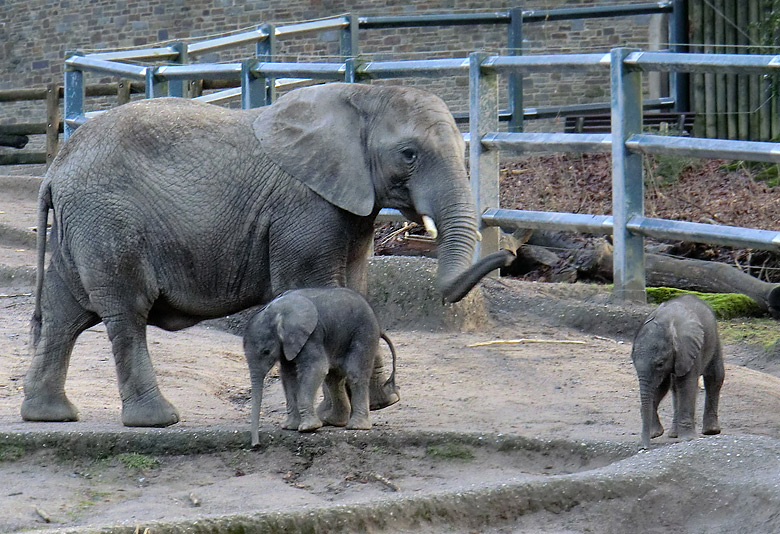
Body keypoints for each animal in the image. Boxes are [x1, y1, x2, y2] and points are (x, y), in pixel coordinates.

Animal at [21, 84, 516, 430]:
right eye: (408, 154)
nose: (511, 255)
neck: (363, 94)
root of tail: (54, 169)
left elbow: (357, 291)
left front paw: (379, 405)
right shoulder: (303, 209)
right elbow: (316, 285)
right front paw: (338, 415)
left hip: (80, 228)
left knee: (65, 313)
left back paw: (49, 415)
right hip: (108, 223)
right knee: (125, 313)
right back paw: (157, 420)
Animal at [244, 286, 400, 446]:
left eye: (266, 351)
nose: (256, 445)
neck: (276, 311)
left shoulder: (311, 336)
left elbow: (316, 369)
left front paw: (308, 428)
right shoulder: (288, 345)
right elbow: (288, 375)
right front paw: (290, 427)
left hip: (364, 332)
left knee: (355, 373)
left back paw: (357, 427)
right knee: (333, 378)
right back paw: (334, 421)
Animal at [628, 296, 724, 450]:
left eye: (660, 364)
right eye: (633, 362)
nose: (644, 448)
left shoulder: (689, 349)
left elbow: (686, 384)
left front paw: (688, 439)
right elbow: (660, 386)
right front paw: (656, 433)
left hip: (713, 339)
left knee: (715, 377)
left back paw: (711, 431)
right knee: (673, 387)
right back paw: (673, 434)